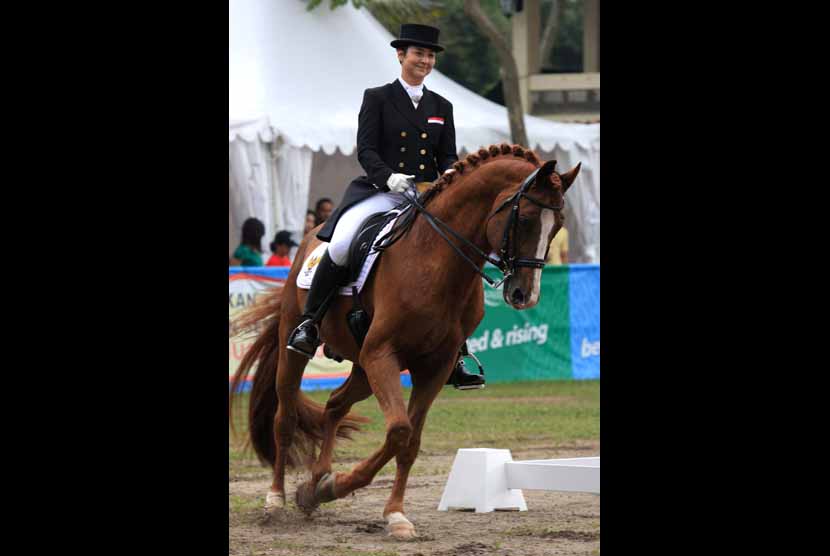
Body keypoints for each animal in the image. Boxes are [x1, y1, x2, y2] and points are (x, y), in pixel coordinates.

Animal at [228, 143, 580, 540]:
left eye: (559, 225)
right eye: (526, 220)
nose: (525, 295)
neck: (437, 260)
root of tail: (310, 236)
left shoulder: (434, 367)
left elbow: (410, 442)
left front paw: (384, 509)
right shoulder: (383, 354)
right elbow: (398, 431)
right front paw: (344, 489)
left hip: (363, 366)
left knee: (335, 405)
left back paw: (314, 486)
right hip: (302, 347)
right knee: (285, 417)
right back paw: (276, 500)